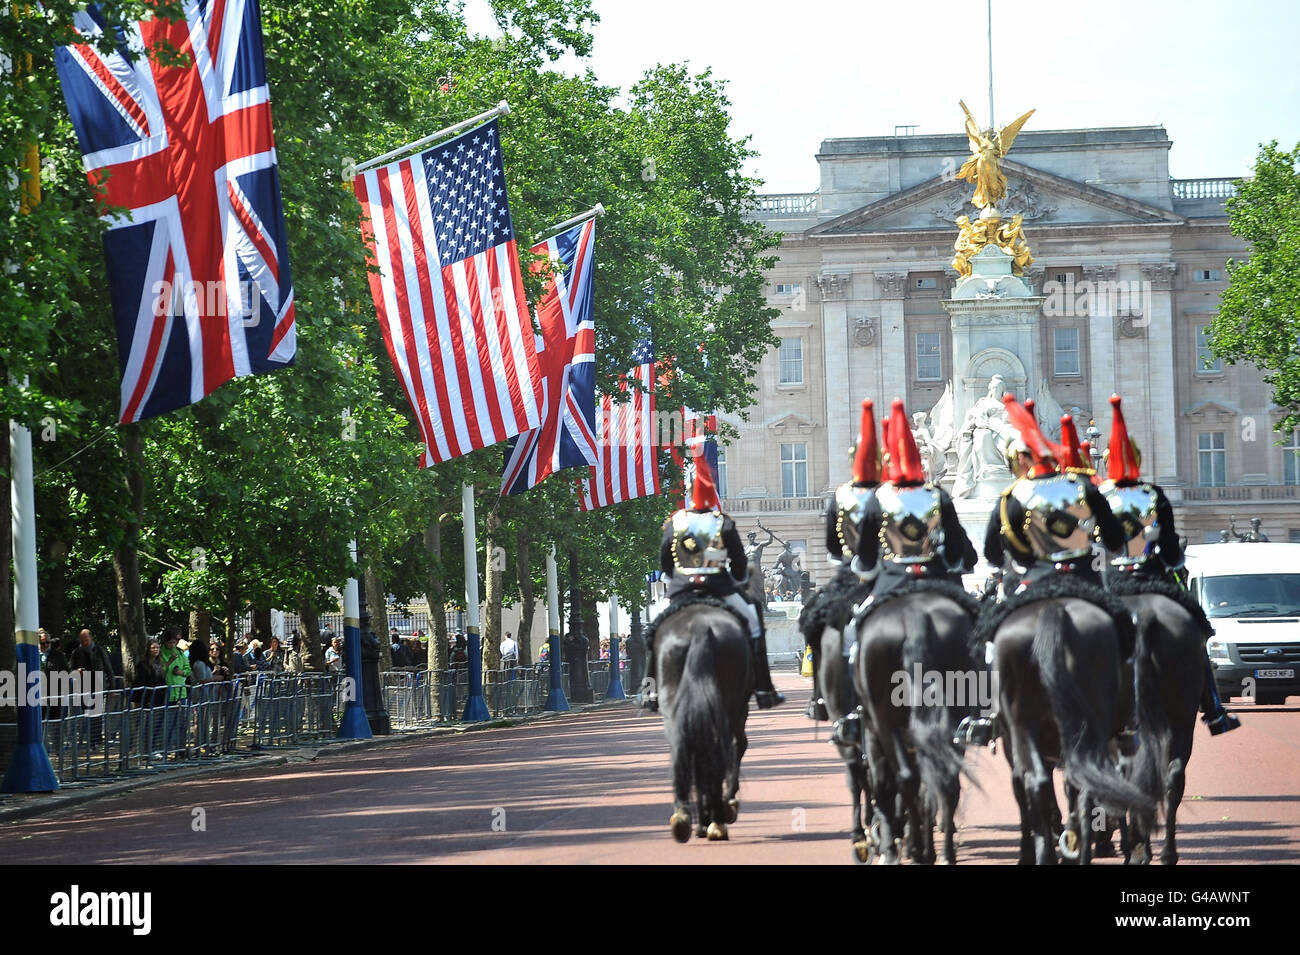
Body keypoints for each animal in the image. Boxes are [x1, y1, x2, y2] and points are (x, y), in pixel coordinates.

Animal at [655, 582, 759, 841]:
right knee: (726, 747)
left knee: (684, 748)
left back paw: (686, 818)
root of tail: (700, 626)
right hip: (730, 706)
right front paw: (724, 807)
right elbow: (737, 747)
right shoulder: (738, 711)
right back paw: (717, 817)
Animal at [852, 582, 977, 867]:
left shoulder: (874, 732)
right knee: (945, 782)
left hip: (885, 723)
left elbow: (885, 785)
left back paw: (915, 849)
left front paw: (891, 842)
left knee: (904, 779)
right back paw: (944, 854)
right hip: (953, 720)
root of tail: (914, 614)